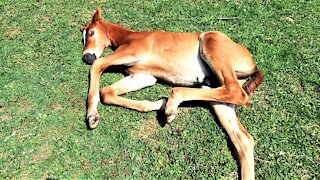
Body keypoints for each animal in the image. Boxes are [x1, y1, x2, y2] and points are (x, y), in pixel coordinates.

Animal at [80, 7, 262, 179]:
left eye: (91, 32)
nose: (86, 57)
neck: (129, 37)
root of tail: (252, 64)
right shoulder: (144, 76)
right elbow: (107, 92)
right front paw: (158, 103)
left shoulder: (133, 52)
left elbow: (98, 65)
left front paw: (91, 116)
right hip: (214, 90)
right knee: (244, 137)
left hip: (211, 42)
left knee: (236, 92)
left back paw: (171, 106)